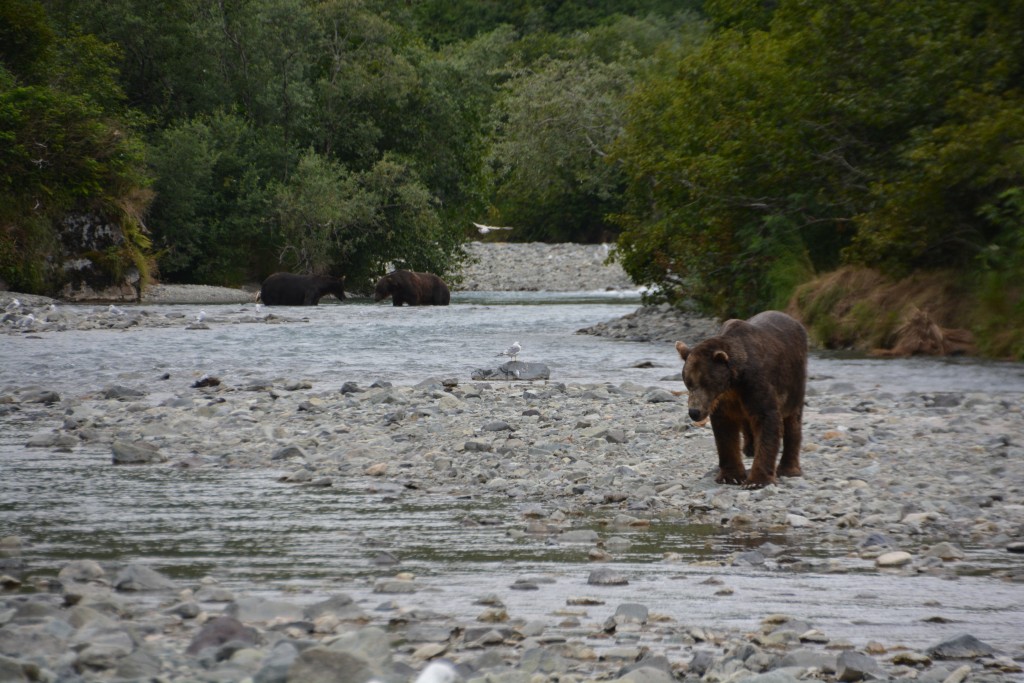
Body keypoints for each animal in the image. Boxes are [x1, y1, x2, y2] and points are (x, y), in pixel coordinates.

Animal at [675, 309, 811, 491]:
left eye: (706, 382)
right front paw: (731, 476)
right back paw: (749, 448)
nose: (694, 412)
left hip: (795, 381)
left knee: (793, 420)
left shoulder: (755, 385)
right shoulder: (725, 400)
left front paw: (757, 480)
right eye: (688, 382)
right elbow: (725, 432)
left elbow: (767, 421)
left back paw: (789, 469)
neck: (734, 382)